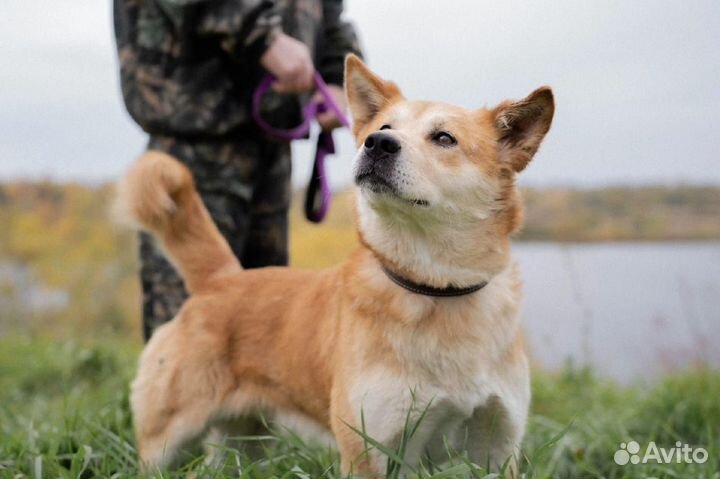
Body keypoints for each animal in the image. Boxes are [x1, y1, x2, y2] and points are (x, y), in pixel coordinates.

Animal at [116, 55, 556, 476]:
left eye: (444, 138)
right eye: (383, 127)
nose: (378, 143)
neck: (438, 287)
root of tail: (221, 279)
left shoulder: (498, 448)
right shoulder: (369, 450)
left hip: (246, 441)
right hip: (166, 439)